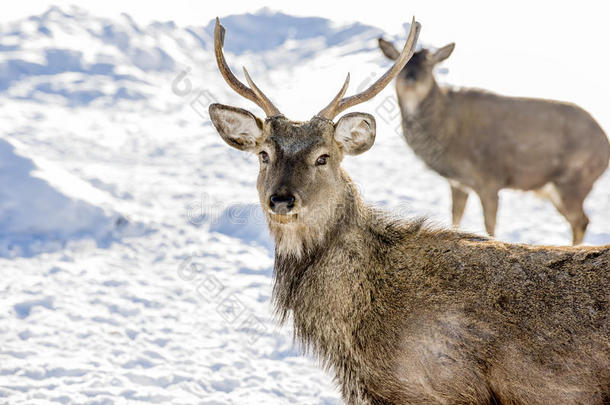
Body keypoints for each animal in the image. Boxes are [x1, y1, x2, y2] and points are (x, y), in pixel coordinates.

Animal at [376, 39, 608, 245]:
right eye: (400, 61)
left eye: (429, 63)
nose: (410, 79)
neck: (446, 135)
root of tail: (605, 145)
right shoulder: (458, 183)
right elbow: (455, 220)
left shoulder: (489, 179)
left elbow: (489, 227)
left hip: (574, 181)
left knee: (581, 221)